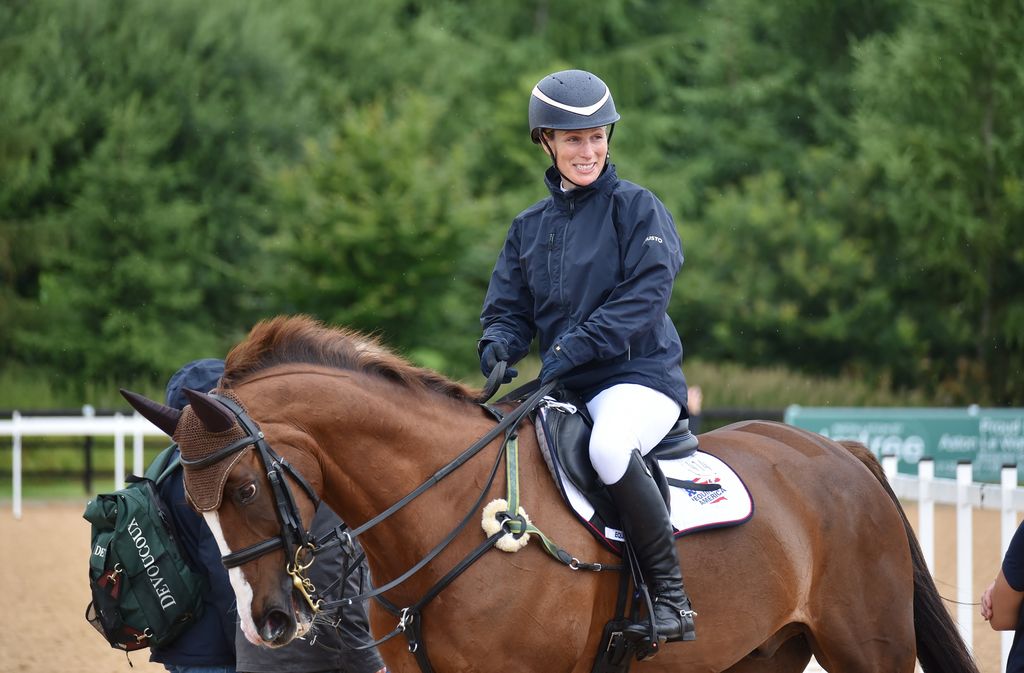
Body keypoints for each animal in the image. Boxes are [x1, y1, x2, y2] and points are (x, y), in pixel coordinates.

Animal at [121, 315, 974, 671]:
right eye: (190, 502)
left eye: (240, 486)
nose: (264, 622)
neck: (444, 514)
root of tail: (841, 452)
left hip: (869, 649)